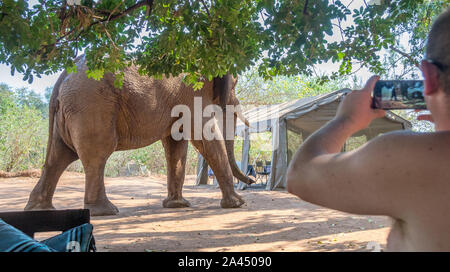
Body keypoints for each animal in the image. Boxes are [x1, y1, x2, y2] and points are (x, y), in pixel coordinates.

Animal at [24, 55, 255, 217]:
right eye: (234, 86)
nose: (252, 179)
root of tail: (62, 77)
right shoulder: (193, 92)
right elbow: (203, 135)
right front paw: (238, 204)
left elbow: (176, 144)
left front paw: (177, 206)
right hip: (90, 105)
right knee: (97, 154)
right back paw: (106, 211)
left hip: (69, 111)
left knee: (59, 157)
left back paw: (39, 209)